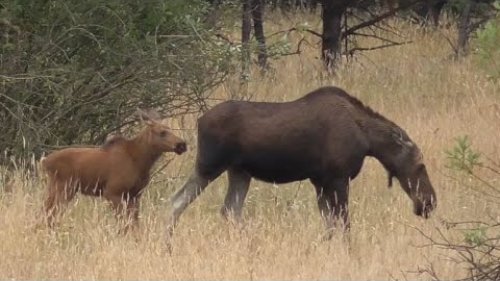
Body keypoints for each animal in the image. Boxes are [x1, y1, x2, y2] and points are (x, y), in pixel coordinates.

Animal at [40, 108, 187, 231]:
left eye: (170, 129)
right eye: (162, 132)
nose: (182, 144)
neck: (141, 161)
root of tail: (45, 162)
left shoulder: (135, 195)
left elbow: (134, 223)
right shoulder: (112, 192)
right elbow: (124, 223)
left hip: (57, 188)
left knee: (46, 210)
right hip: (65, 188)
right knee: (51, 212)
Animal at [166, 86, 436, 238]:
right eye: (420, 166)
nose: (430, 202)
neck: (369, 142)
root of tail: (199, 120)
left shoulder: (320, 181)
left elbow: (330, 224)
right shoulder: (338, 178)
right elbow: (344, 223)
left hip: (239, 172)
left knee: (229, 210)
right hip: (209, 165)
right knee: (176, 201)